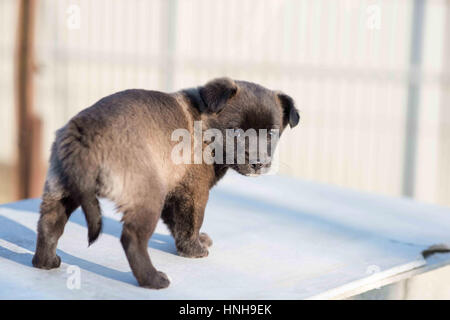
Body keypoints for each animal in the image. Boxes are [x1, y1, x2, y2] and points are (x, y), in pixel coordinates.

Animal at [31, 78, 298, 290]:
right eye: (237, 132)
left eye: (271, 134)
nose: (258, 163)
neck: (206, 128)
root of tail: (85, 133)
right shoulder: (194, 193)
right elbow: (191, 222)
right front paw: (194, 250)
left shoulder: (175, 191)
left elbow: (178, 225)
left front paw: (192, 243)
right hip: (148, 197)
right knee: (132, 238)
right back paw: (153, 280)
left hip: (61, 191)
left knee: (49, 225)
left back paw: (45, 262)